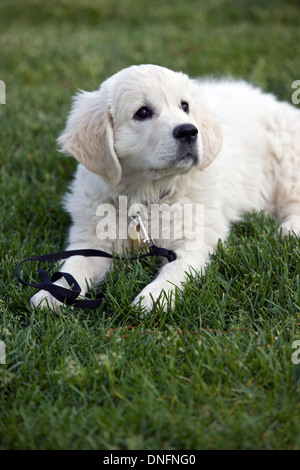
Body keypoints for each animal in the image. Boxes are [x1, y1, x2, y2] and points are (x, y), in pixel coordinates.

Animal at [30, 62, 300, 312]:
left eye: (185, 106)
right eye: (142, 112)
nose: (189, 131)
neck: (144, 194)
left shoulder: (192, 237)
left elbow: (177, 269)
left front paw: (153, 297)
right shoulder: (92, 237)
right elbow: (75, 264)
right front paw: (52, 293)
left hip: (287, 156)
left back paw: (289, 230)